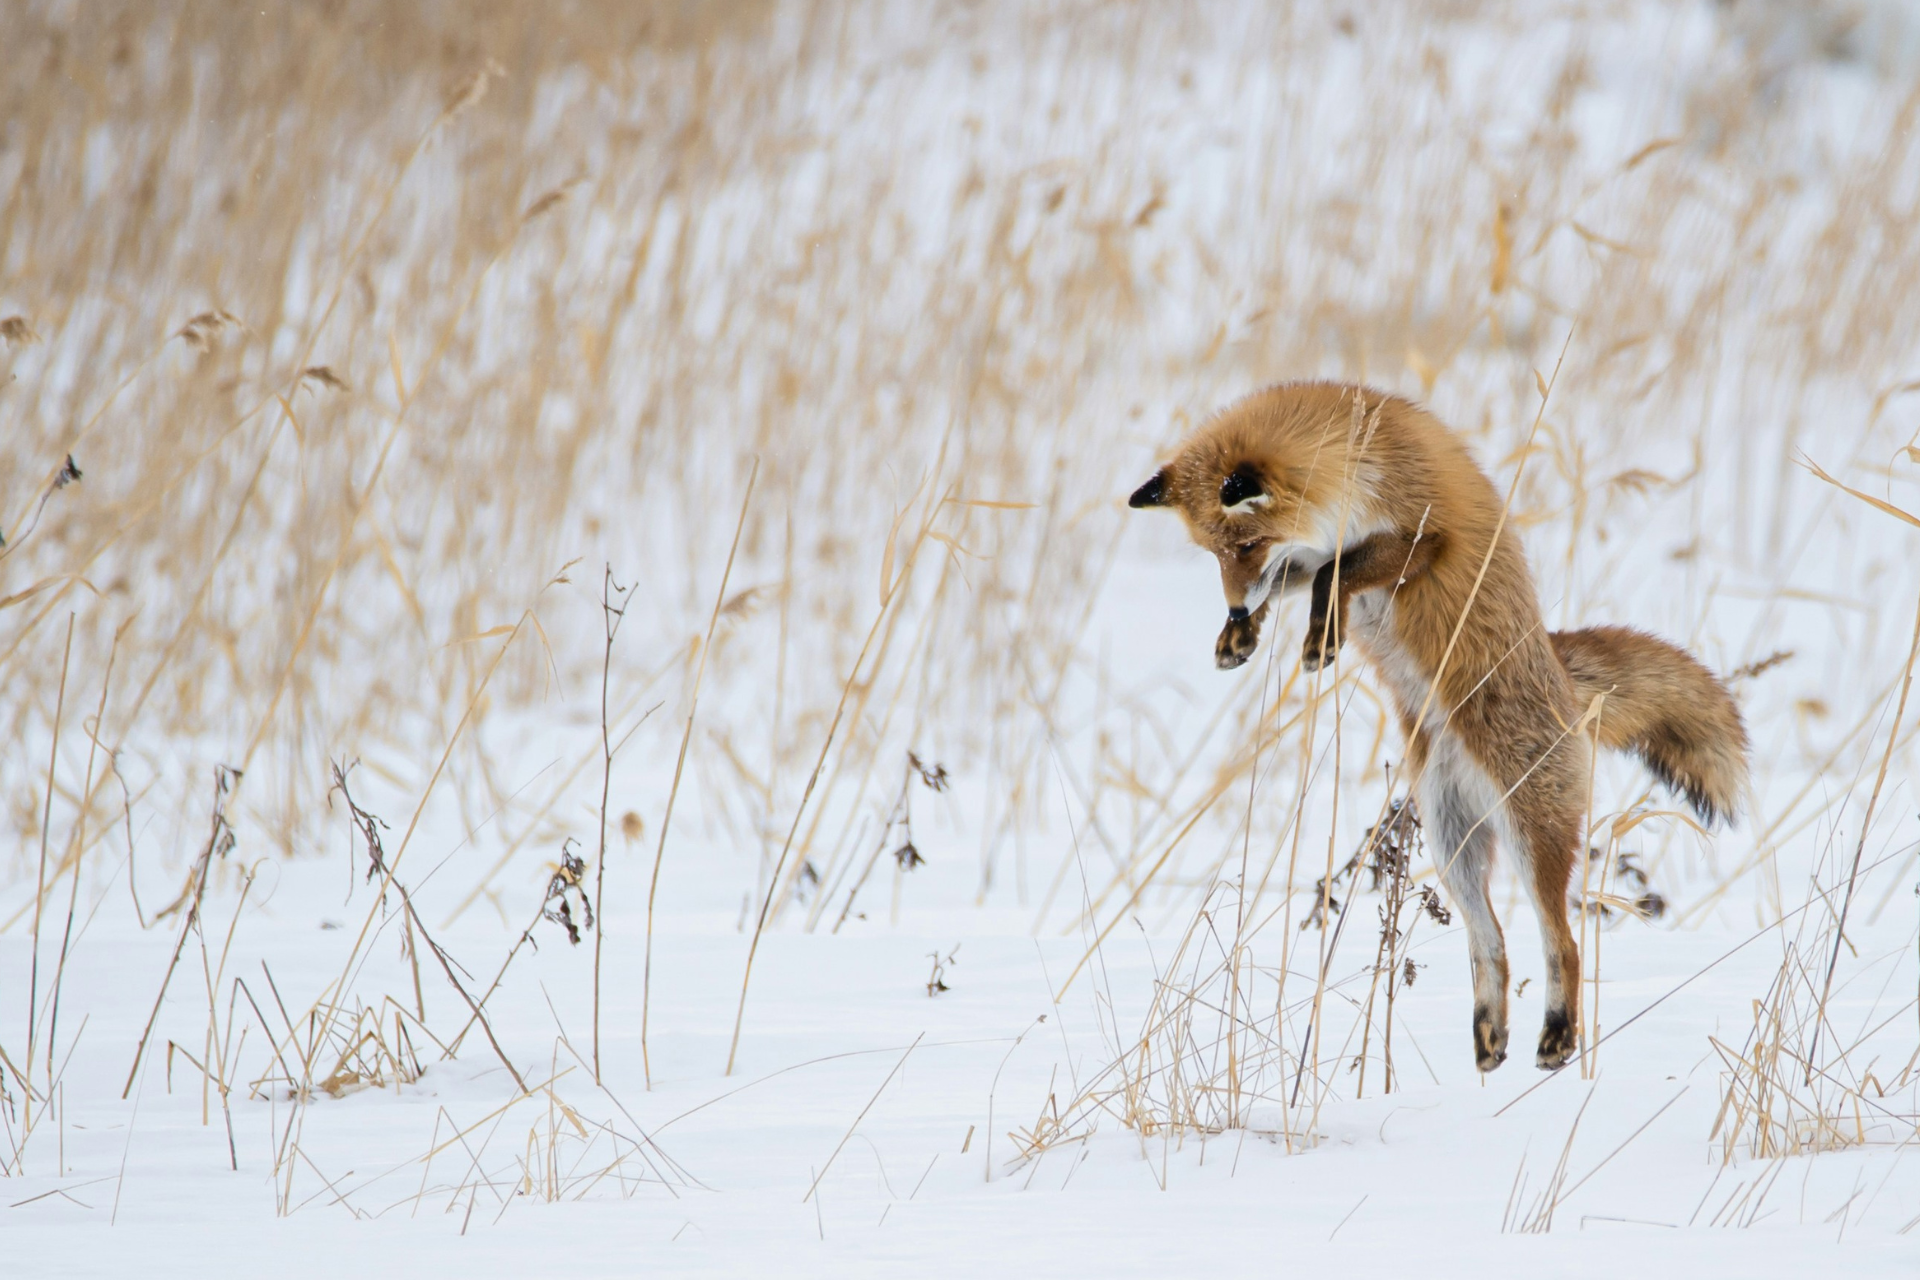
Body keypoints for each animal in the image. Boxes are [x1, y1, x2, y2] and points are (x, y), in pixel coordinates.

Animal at [1128, 379, 1751, 1074]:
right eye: (1214, 554)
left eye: (1244, 546)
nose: (1233, 608)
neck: (1358, 459)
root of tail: (1565, 680)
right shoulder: (1311, 549)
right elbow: (1301, 579)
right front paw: (1241, 635)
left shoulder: (1423, 536)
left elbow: (1332, 574)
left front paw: (1319, 639)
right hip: (1453, 846)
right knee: (1492, 941)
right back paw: (1488, 1039)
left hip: (1529, 834)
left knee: (1561, 942)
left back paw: (1557, 1036)